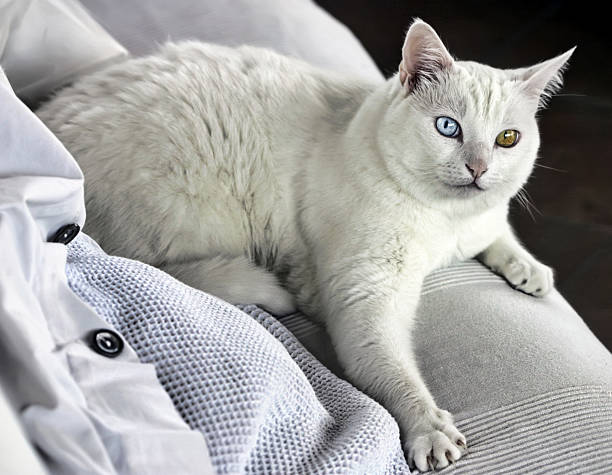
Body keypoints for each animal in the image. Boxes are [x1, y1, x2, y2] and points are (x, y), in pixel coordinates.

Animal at [38, 19, 572, 472]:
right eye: (447, 127)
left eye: (508, 139)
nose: (479, 168)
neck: (445, 223)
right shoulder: (364, 294)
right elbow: (392, 369)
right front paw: (428, 429)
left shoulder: (481, 222)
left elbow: (500, 232)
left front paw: (531, 271)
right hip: (184, 211)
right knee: (165, 267)